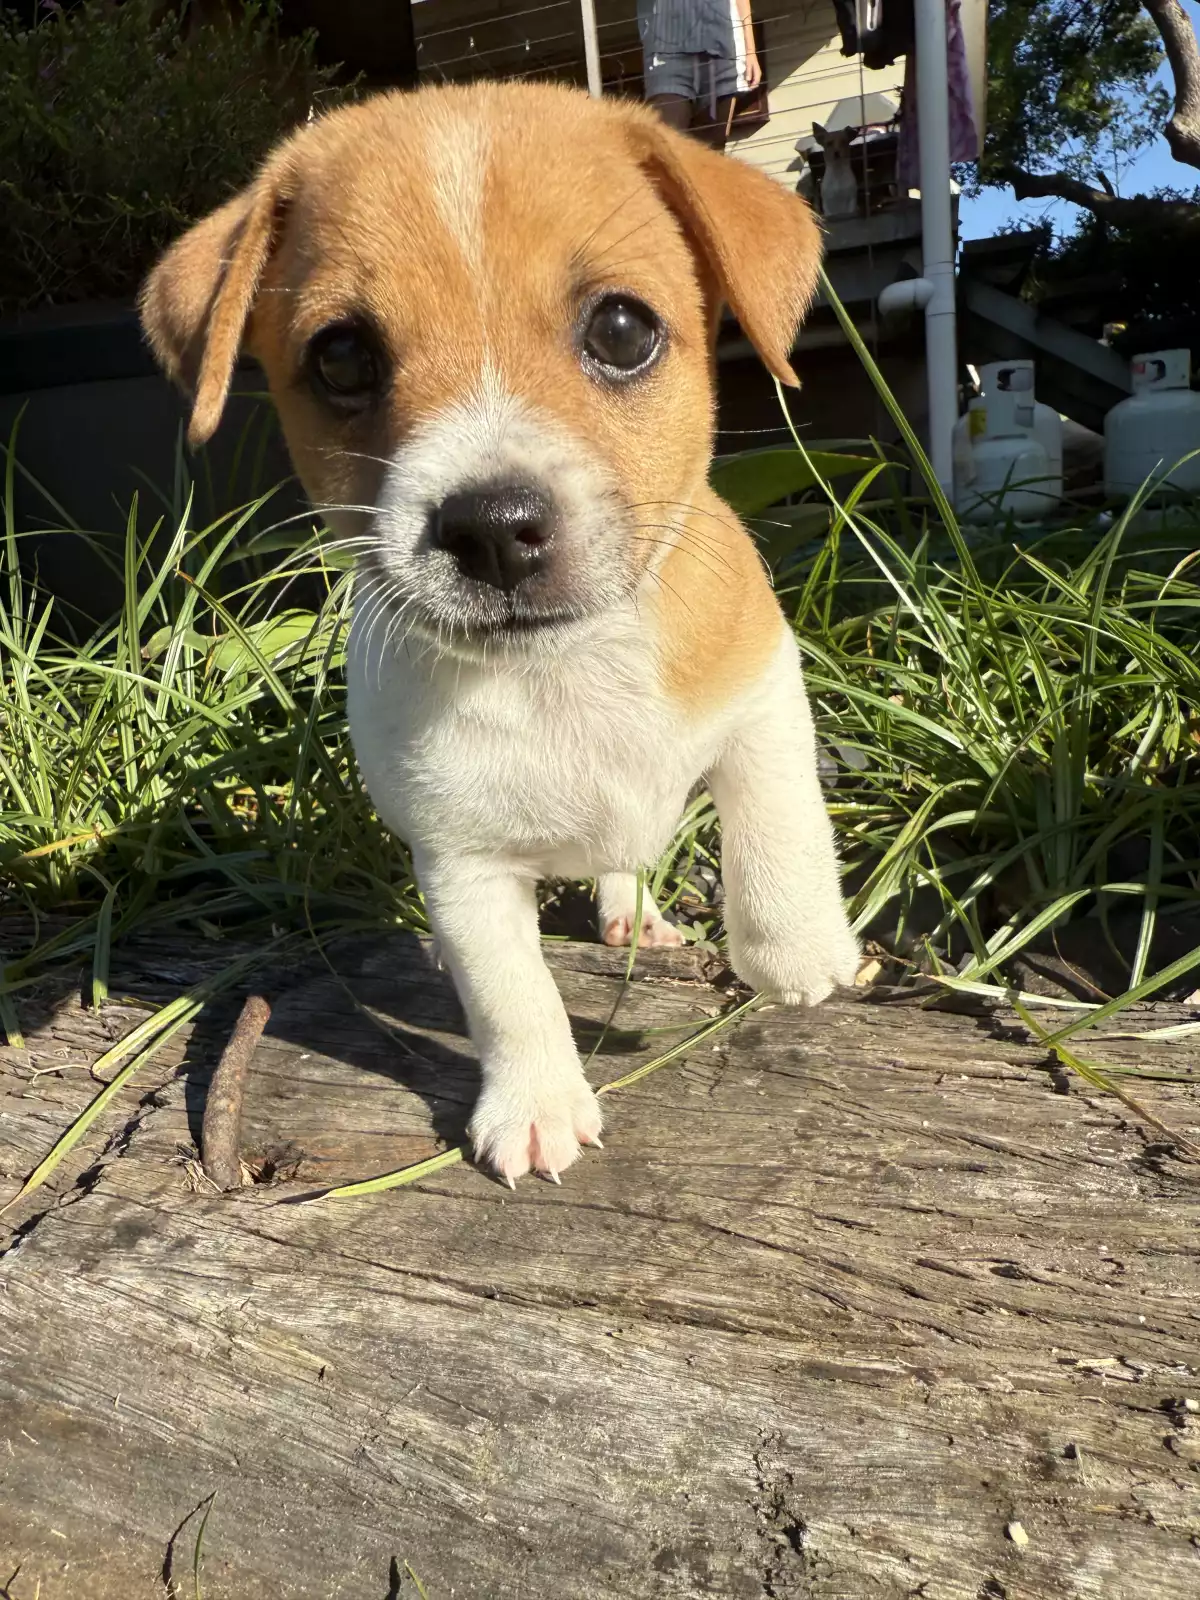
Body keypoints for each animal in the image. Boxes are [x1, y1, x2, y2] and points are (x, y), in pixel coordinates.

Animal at [140, 82, 860, 1186]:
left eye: (622, 329)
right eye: (341, 357)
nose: (490, 525)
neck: (564, 670)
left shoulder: (762, 688)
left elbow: (777, 821)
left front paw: (800, 954)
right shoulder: (460, 860)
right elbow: (510, 994)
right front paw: (535, 1102)